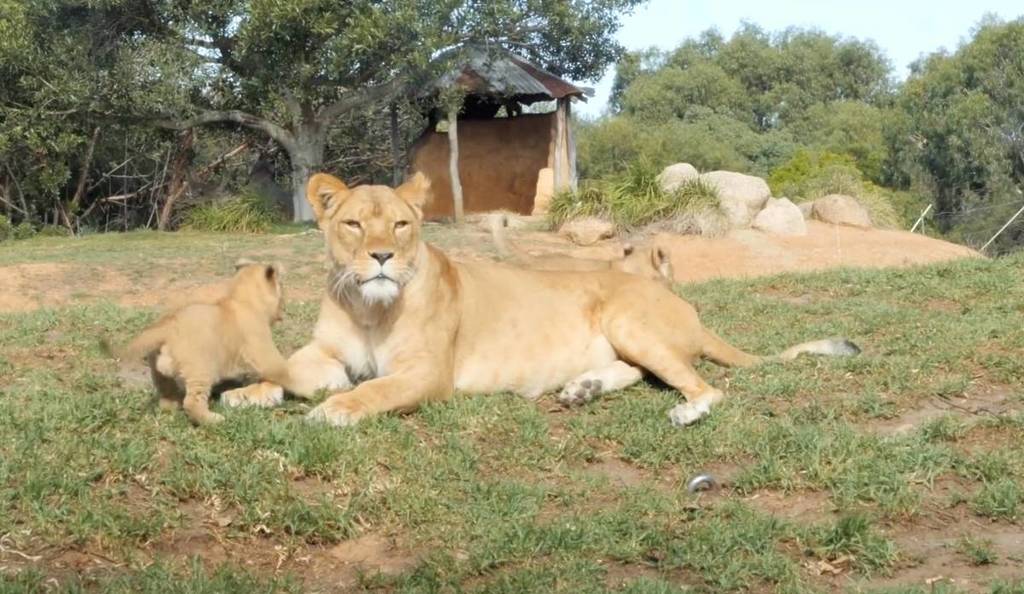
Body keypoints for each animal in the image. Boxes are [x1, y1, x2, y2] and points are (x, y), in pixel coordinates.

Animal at [112, 260, 294, 425]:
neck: (242, 300)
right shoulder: (261, 345)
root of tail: (167, 328)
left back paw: (172, 406)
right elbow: (277, 368)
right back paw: (213, 419)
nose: (283, 309)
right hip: (200, 369)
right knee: (192, 402)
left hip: (160, 372)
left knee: (166, 396)